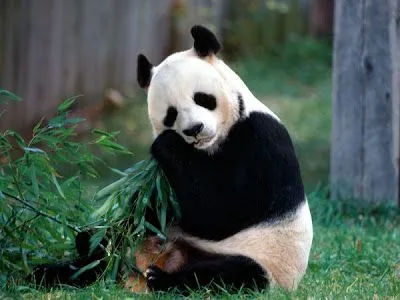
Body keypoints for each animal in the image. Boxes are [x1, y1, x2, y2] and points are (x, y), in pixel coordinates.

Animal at [31, 25, 312, 292]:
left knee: (229, 274)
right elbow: (149, 206)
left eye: (202, 98)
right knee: (104, 256)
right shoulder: (164, 183)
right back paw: (60, 264)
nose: (194, 129)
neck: (209, 147)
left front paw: (168, 144)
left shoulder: (260, 142)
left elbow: (221, 211)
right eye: (171, 114)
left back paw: (161, 279)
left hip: (265, 260)